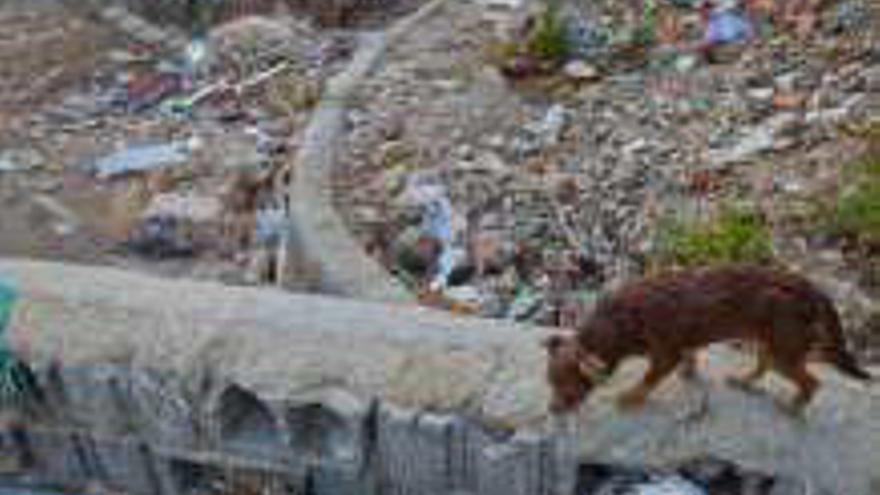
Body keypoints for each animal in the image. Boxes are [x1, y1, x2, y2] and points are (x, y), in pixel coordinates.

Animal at [544, 266, 872, 416]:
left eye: (568, 388)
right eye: (550, 382)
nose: (552, 410)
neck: (620, 320)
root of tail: (812, 290)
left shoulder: (665, 352)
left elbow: (649, 380)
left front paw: (630, 397)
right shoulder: (683, 344)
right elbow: (690, 358)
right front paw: (690, 374)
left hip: (785, 347)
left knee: (812, 383)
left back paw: (792, 408)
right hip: (768, 339)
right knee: (764, 365)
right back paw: (742, 380)